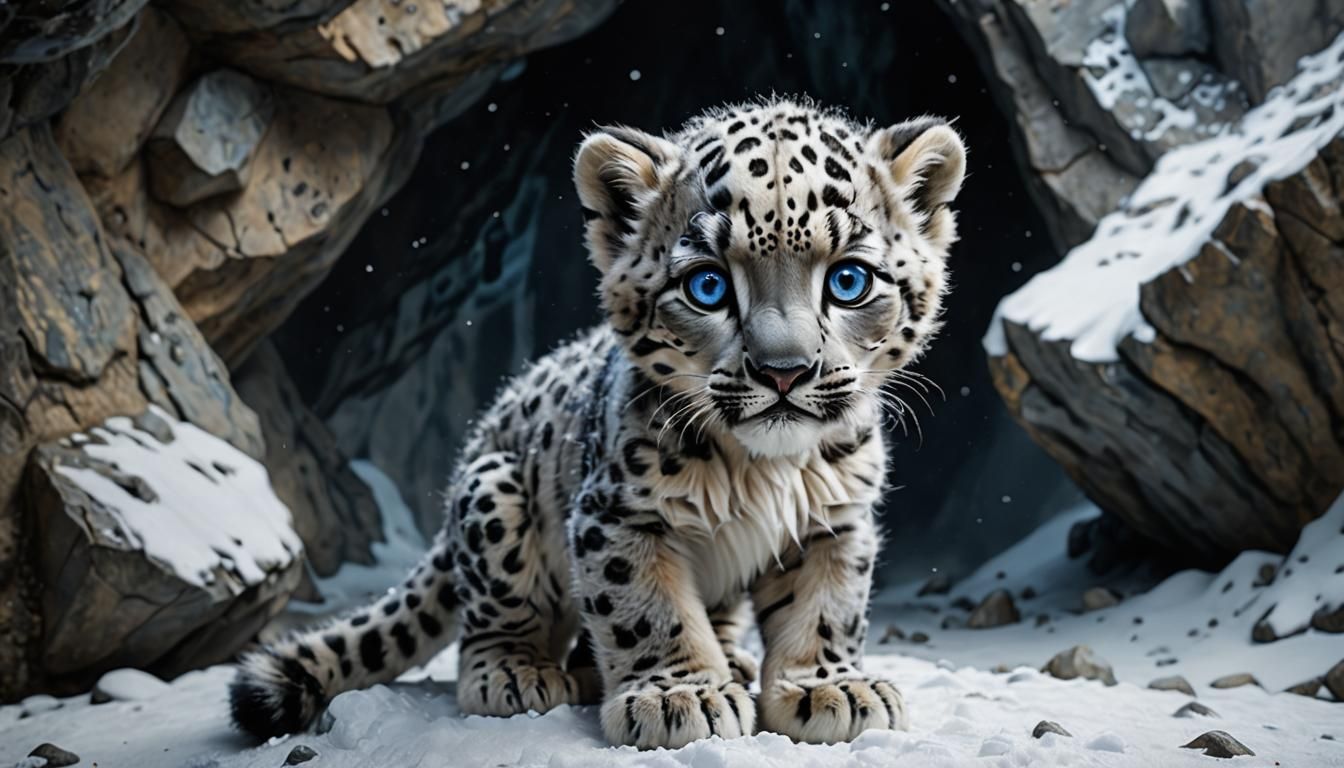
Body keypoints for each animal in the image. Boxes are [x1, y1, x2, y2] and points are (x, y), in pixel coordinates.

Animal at [230, 95, 967, 750]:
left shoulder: (837, 520)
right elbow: (648, 607)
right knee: (493, 618)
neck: (769, 471)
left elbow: (826, 606)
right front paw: (681, 697)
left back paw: (729, 661)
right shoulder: (620, 514)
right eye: (708, 286)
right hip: (494, 498)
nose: (783, 371)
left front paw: (829, 687)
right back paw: (517, 673)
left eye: (849, 281)